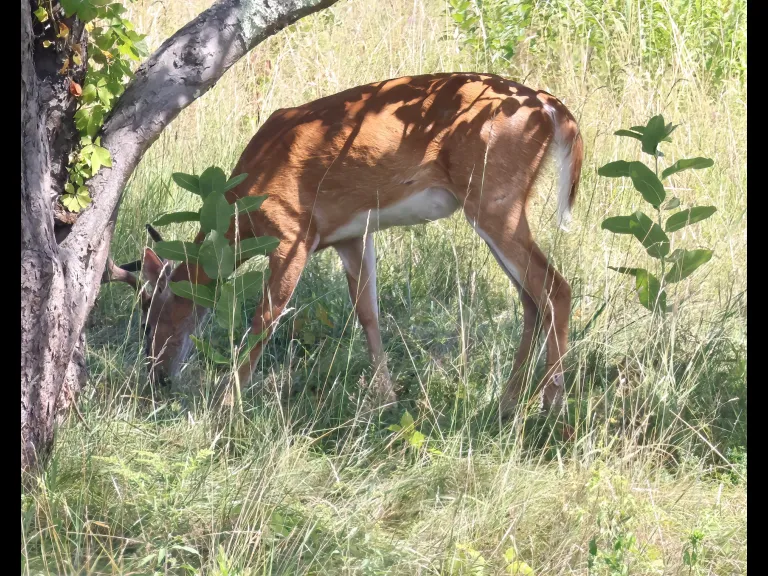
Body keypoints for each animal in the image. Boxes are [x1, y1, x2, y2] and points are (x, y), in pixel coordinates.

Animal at [102, 73, 583, 417]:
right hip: (495, 204)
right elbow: (367, 312)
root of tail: (548, 105)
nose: (157, 379)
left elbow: (266, 316)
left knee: (556, 288)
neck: (242, 205)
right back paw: (507, 404)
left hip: (493, 196)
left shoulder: (294, 232)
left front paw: (226, 405)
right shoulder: (352, 234)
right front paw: (387, 402)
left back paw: (552, 408)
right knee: (531, 298)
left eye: (147, 317)